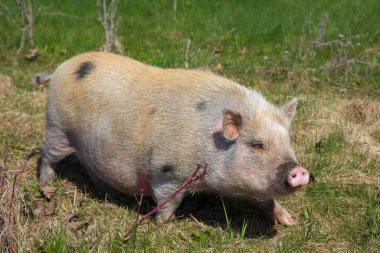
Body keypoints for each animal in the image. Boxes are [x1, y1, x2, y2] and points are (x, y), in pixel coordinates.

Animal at [37, 52, 308, 225]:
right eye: (257, 144)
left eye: (288, 142)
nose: (298, 171)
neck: (208, 142)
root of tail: (61, 68)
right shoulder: (166, 171)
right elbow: (169, 202)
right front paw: (160, 226)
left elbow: (266, 199)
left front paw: (289, 222)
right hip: (56, 127)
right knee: (48, 155)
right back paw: (45, 185)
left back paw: (107, 193)